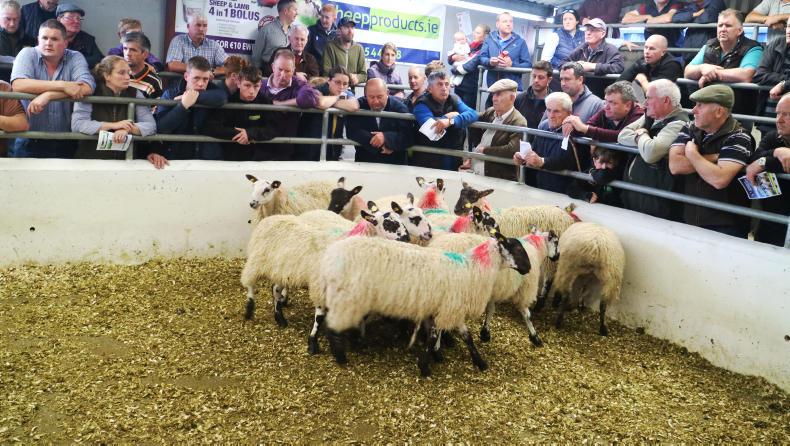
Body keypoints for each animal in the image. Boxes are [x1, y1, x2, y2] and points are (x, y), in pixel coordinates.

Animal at [320, 229, 532, 377]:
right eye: (517, 248)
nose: (528, 268)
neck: (472, 269)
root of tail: (331, 255)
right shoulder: (450, 309)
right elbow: (439, 337)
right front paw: (425, 366)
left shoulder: (444, 310)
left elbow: (464, 337)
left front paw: (478, 362)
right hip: (348, 297)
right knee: (332, 326)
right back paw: (340, 355)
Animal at [428, 226, 559, 347]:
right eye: (556, 242)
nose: (557, 257)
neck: (536, 249)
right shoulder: (524, 290)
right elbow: (527, 314)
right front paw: (535, 337)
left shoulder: (492, 291)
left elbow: (490, 310)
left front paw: (485, 332)